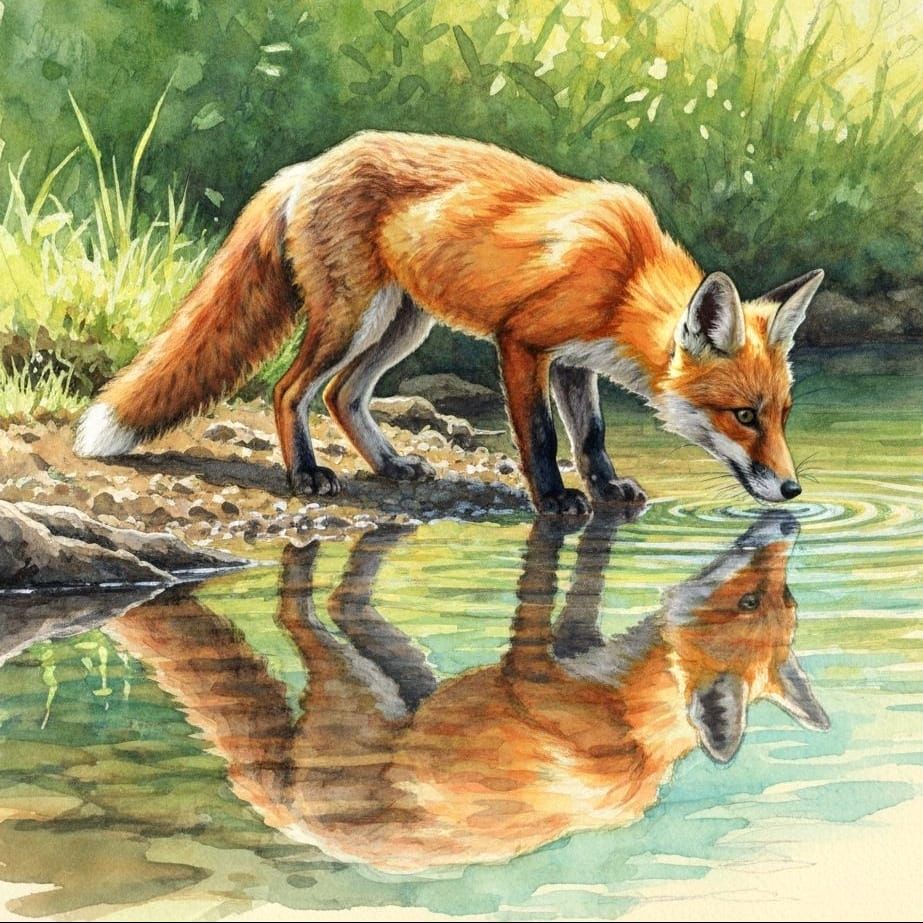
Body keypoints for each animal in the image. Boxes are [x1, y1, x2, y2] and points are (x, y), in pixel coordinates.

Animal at [74, 131, 825, 513]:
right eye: (744, 416)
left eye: (783, 414)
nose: (792, 489)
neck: (625, 277)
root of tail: (307, 165)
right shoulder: (522, 342)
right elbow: (542, 436)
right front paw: (555, 499)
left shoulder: (574, 360)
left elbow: (591, 435)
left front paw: (607, 488)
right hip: (352, 318)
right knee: (289, 390)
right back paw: (308, 475)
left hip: (404, 325)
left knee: (342, 395)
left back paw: (389, 464)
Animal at [108, 510, 828, 872]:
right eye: (756, 599)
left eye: (783, 597)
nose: (781, 525)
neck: (631, 727)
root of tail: (296, 823)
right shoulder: (547, 659)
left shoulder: (541, 660)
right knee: (308, 609)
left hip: (382, 677)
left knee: (320, 608)